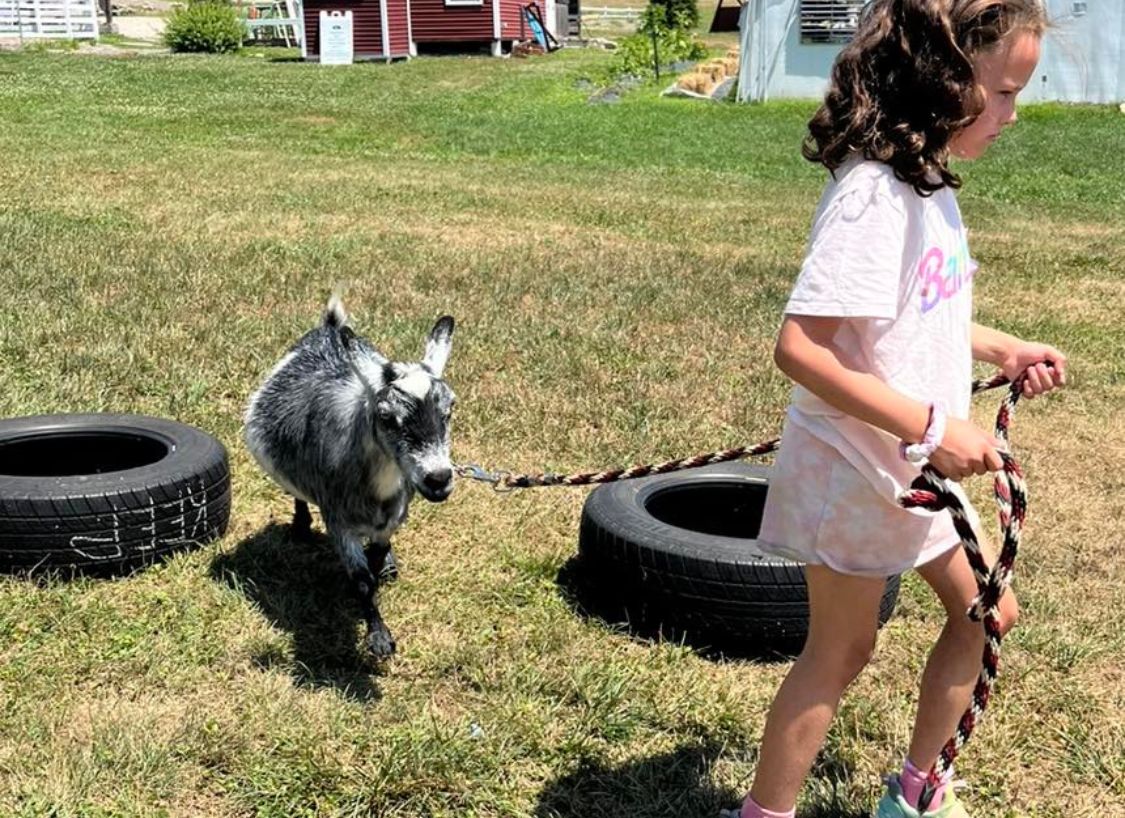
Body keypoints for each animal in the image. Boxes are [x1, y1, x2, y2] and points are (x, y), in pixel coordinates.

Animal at [246, 297, 456, 661]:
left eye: (449, 410)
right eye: (385, 417)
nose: (438, 479)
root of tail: (329, 329)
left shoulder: (394, 517)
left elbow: (376, 555)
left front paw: (382, 566)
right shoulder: (338, 518)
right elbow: (361, 579)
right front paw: (380, 639)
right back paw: (300, 527)